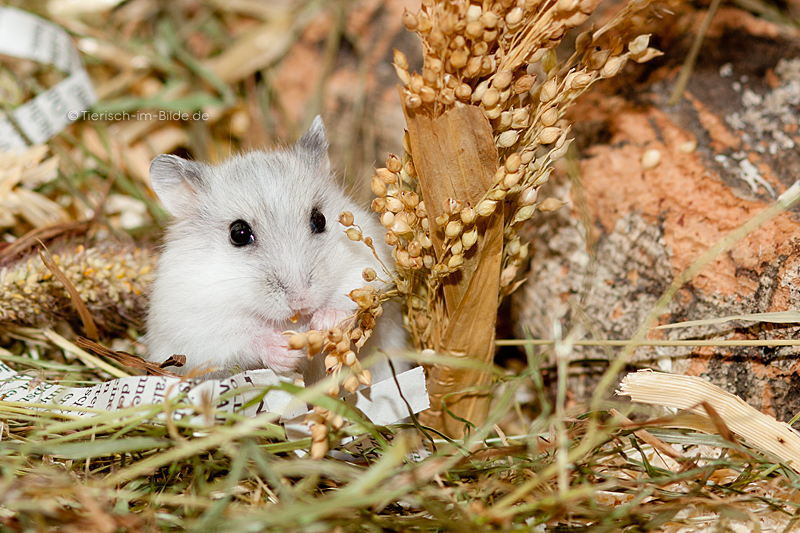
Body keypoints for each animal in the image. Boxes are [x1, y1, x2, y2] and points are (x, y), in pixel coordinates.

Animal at [145, 118, 406, 380]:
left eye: (320, 219)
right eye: (238, 234)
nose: (302, 301)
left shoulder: (368, 269)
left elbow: (359, 300)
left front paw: (325, 322)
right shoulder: (193, 331)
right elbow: (242, 340)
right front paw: (287, 350)